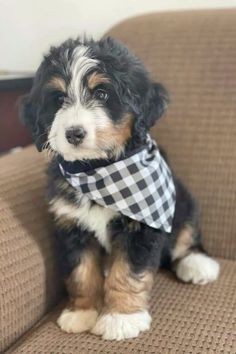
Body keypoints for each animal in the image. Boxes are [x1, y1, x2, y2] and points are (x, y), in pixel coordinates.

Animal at [20, 36, 219, 340]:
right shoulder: (71, 226)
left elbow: (127, 271)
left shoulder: (141, 226)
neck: (97, 170)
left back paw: (197, 264)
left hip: (183, 202)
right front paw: (82, 312)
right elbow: (81, 272)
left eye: (102, 94)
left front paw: (121, 318)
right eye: (58, 99)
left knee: (186, 236)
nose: (73, 133)